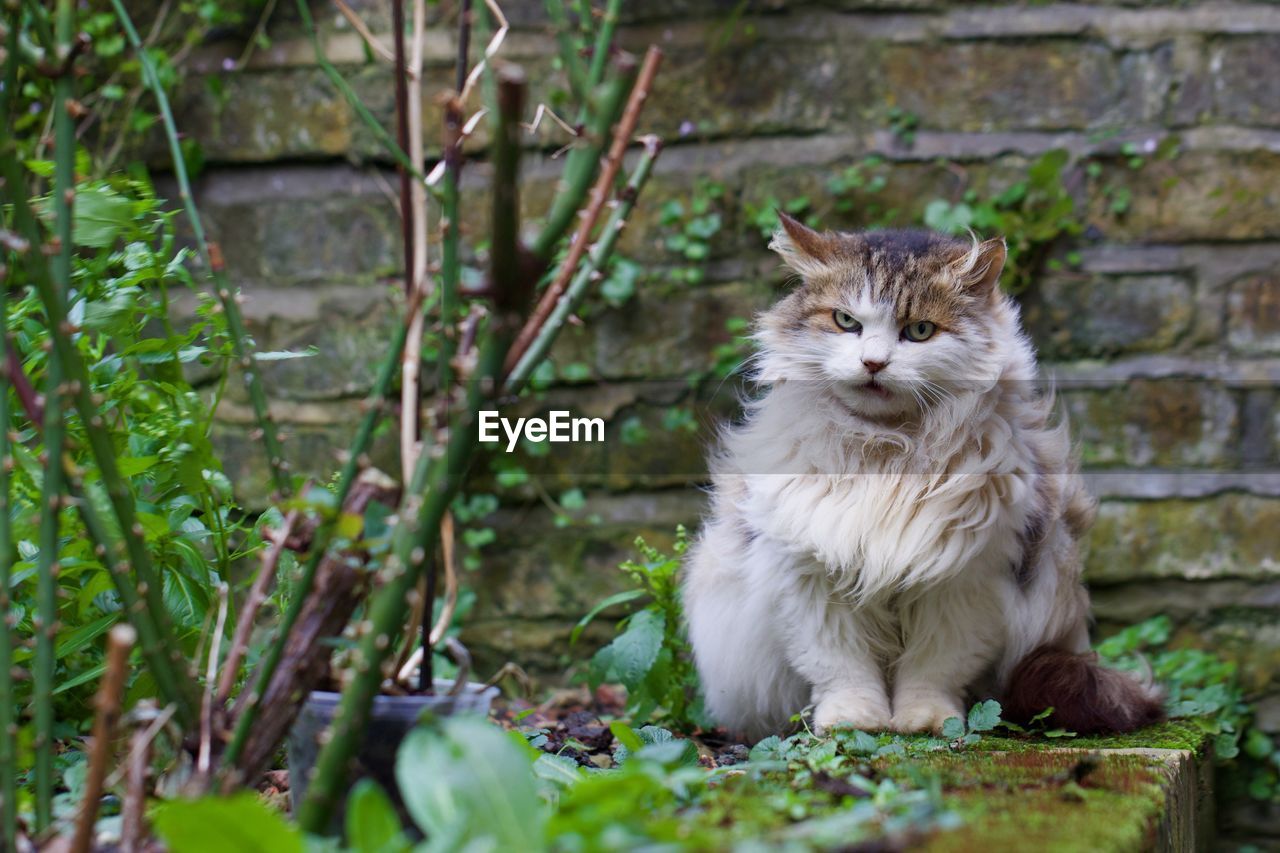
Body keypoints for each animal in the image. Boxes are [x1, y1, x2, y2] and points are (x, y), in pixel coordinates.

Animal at [686, 213, 1167, 737]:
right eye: (846, 322)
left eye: (919, 330)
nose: (873, 363)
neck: (887, 450)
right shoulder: (812, 579)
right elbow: (841, 668)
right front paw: (853, 721)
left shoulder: (963, 583)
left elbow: (934, 670)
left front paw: (928, 721)